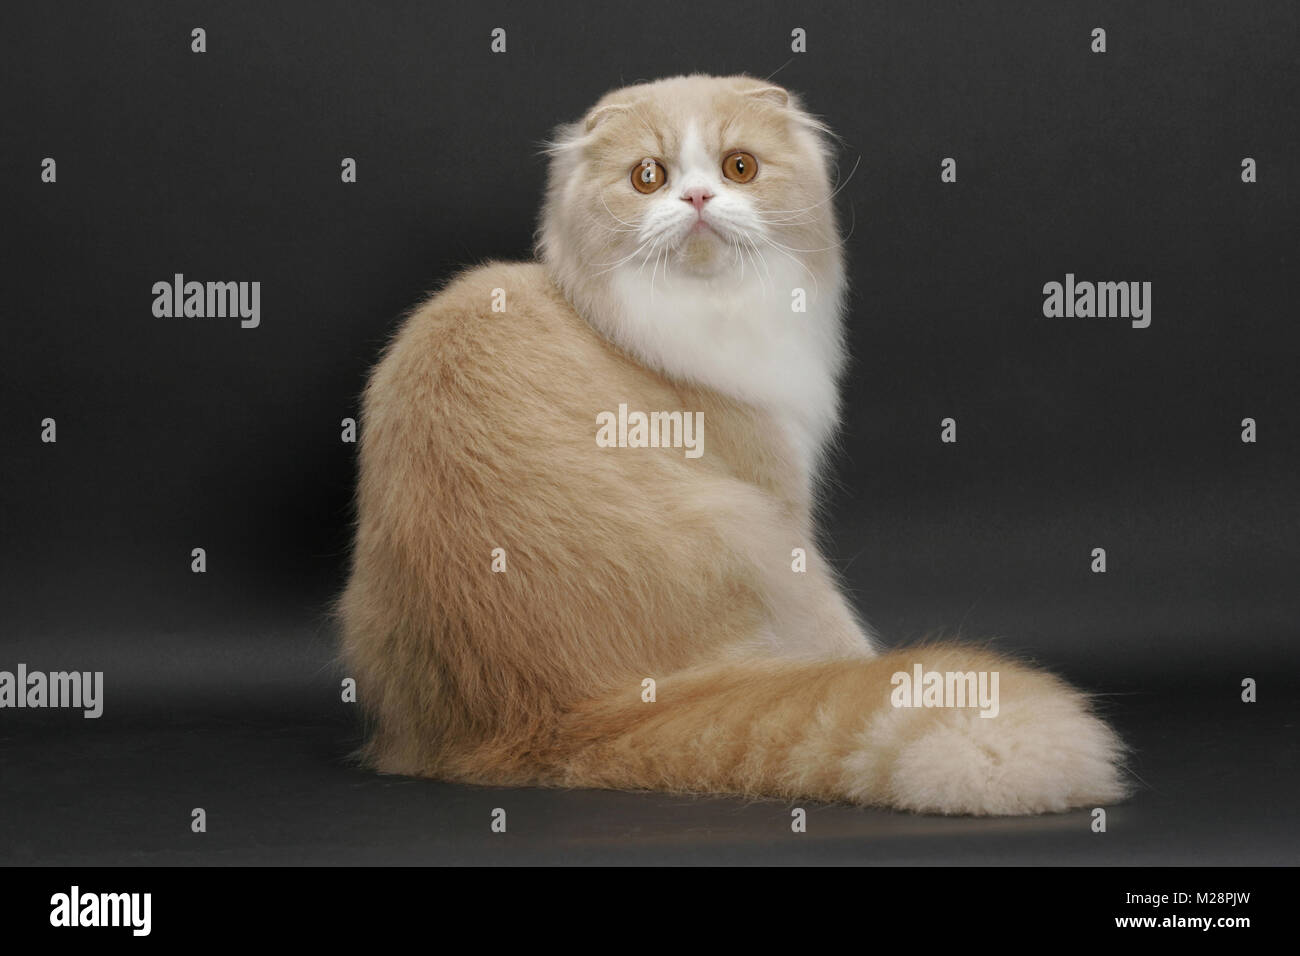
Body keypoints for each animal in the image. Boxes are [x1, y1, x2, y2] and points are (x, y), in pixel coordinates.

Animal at [340, 74, 1133, 816]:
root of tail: (555, 717)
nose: (696, 197)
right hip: (752, 531)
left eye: (740, 167)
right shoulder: (781, 495)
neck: (710, 312)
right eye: (648, 176)